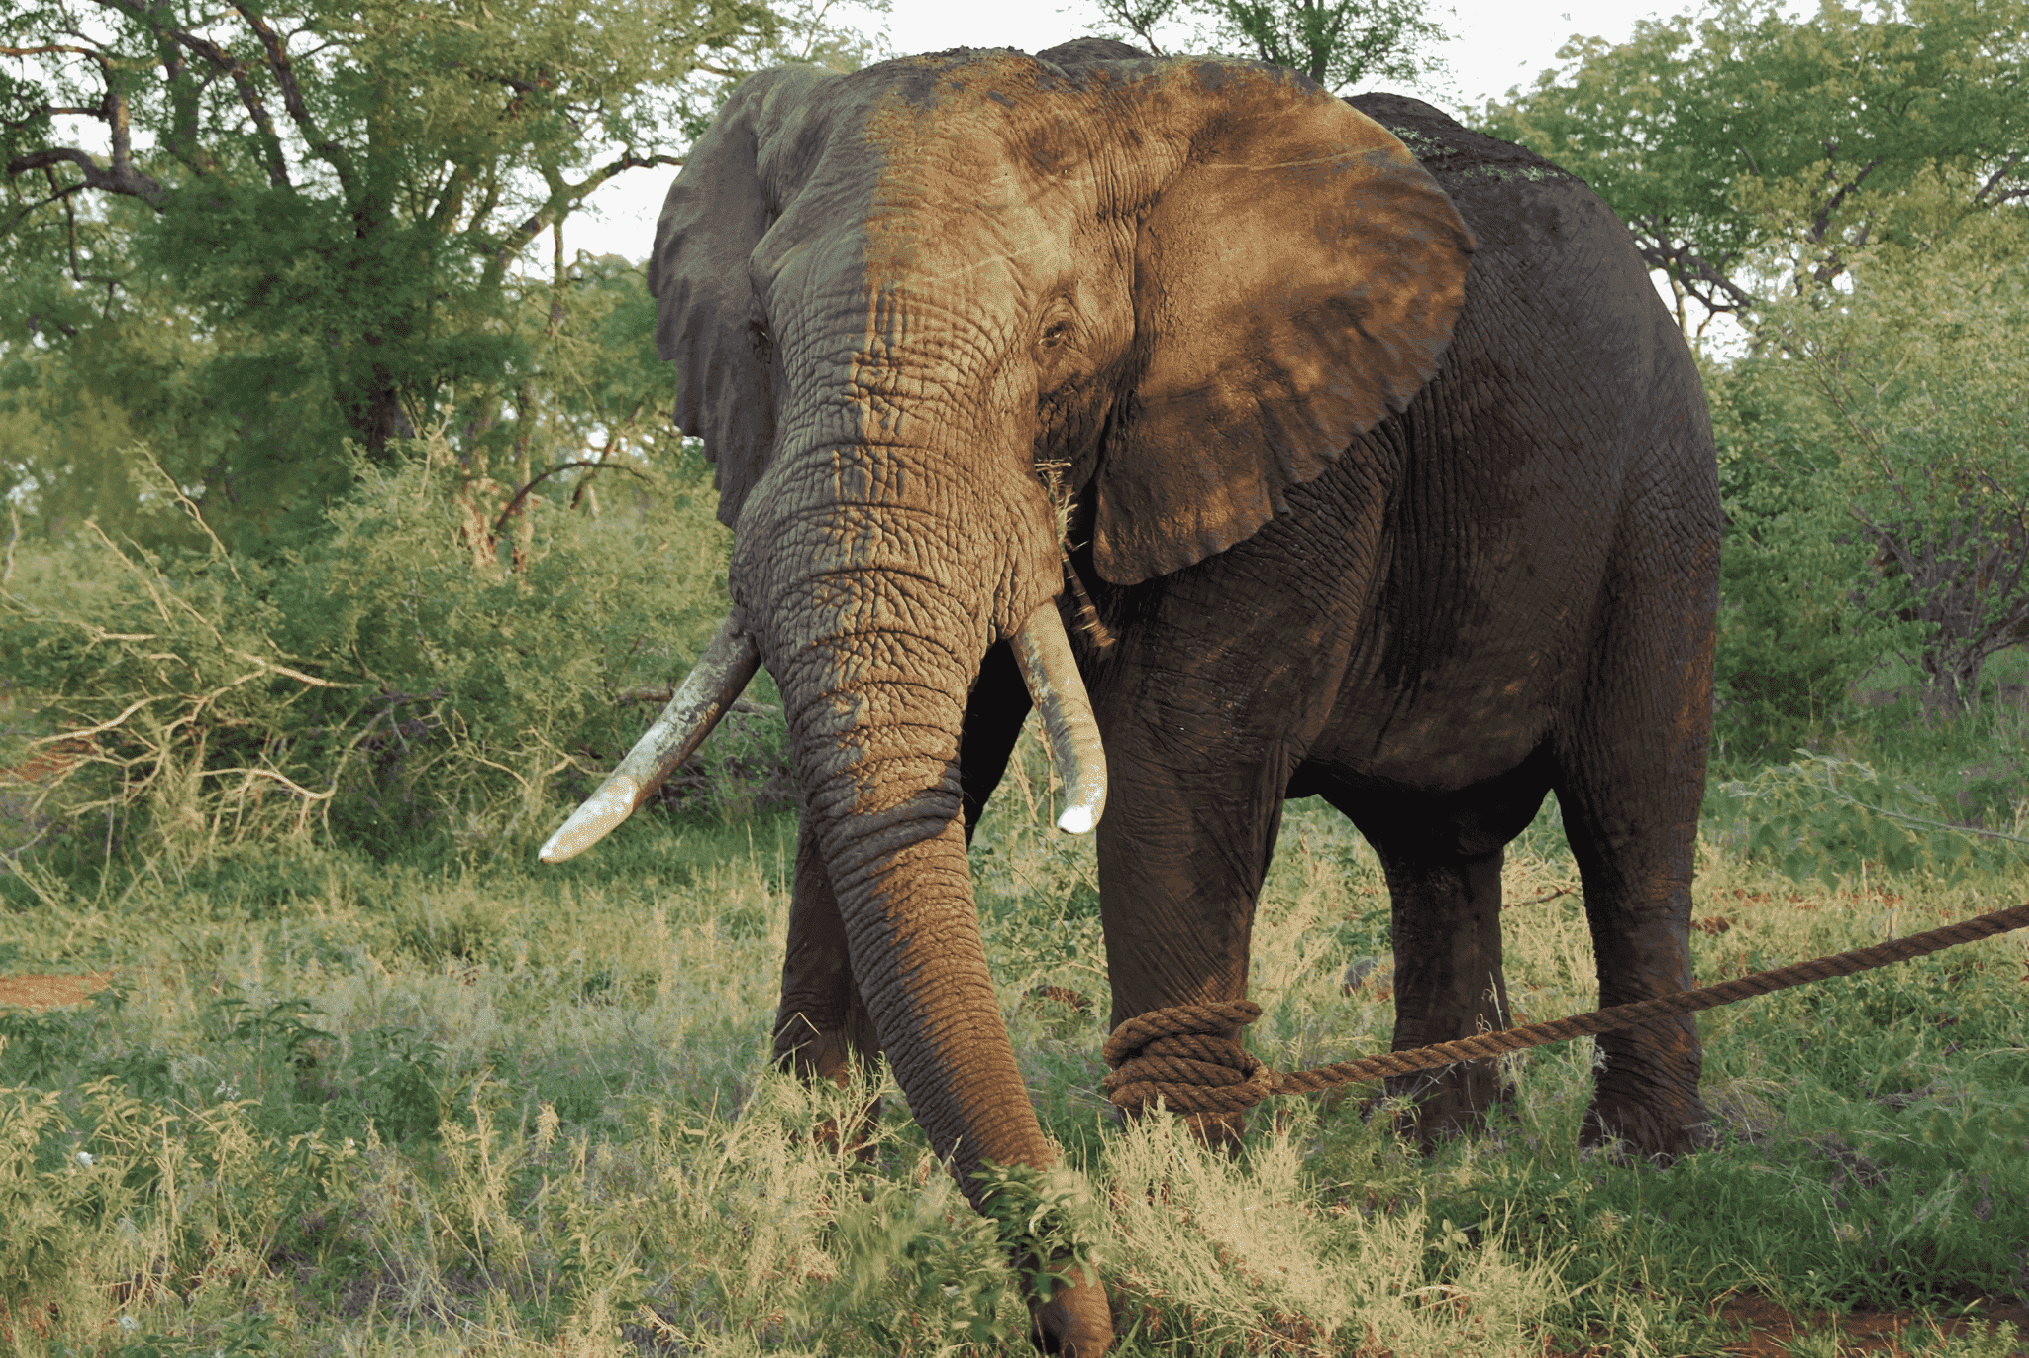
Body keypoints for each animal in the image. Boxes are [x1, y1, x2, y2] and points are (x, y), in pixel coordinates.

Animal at [541, 35, 1720, 1355]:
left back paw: (1636, 1160)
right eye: (756, 330)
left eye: (1059, 335)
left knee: (1631, 805)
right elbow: (919, 765)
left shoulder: (1283, 429)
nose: (1073, 1316)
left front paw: (1175, 1217)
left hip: (1663, 482)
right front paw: (805, 1186)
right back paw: (1434, 1146)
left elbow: (1172, 769)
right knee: (1435, 848)